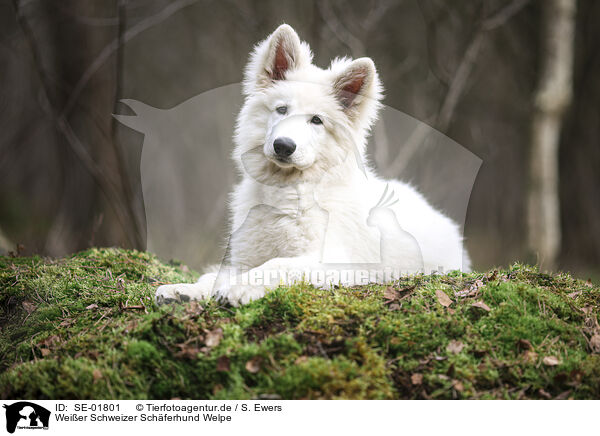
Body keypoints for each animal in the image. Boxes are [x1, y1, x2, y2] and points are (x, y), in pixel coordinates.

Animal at [155, 23, 468, 306]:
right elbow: (215, 275)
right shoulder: (244, 258)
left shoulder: (334, 261)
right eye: (282, 109)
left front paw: (238, 289)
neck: (288, 193)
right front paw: (185, 290)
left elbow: (276, 264)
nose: (283, 145)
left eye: (316, 120)